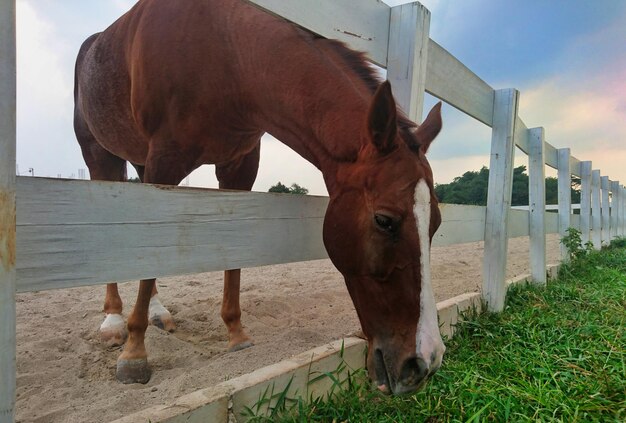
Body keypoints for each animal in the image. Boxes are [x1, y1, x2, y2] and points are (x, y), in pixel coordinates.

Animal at [73, 0, 444, 398]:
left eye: (436, 225)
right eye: (384, 220)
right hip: (101, 156)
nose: (425, 361)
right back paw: (114, 319)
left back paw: (158, 311)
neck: (225, 51)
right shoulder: (165, 158)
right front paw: (134, 352)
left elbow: (235, 247)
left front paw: (236, 333)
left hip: (141, 162)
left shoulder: (240, 165)